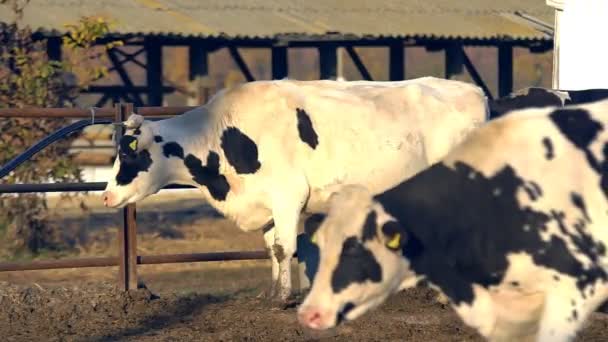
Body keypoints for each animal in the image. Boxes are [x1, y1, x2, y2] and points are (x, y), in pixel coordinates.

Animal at [102, 78, 486, 304]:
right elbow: (272, 249)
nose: (105, 196)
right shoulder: (266, 203)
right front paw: (273, 292)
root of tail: (472, 90)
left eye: (129, 155)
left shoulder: (288, 195)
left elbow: (286, 247)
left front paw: (286, 297)